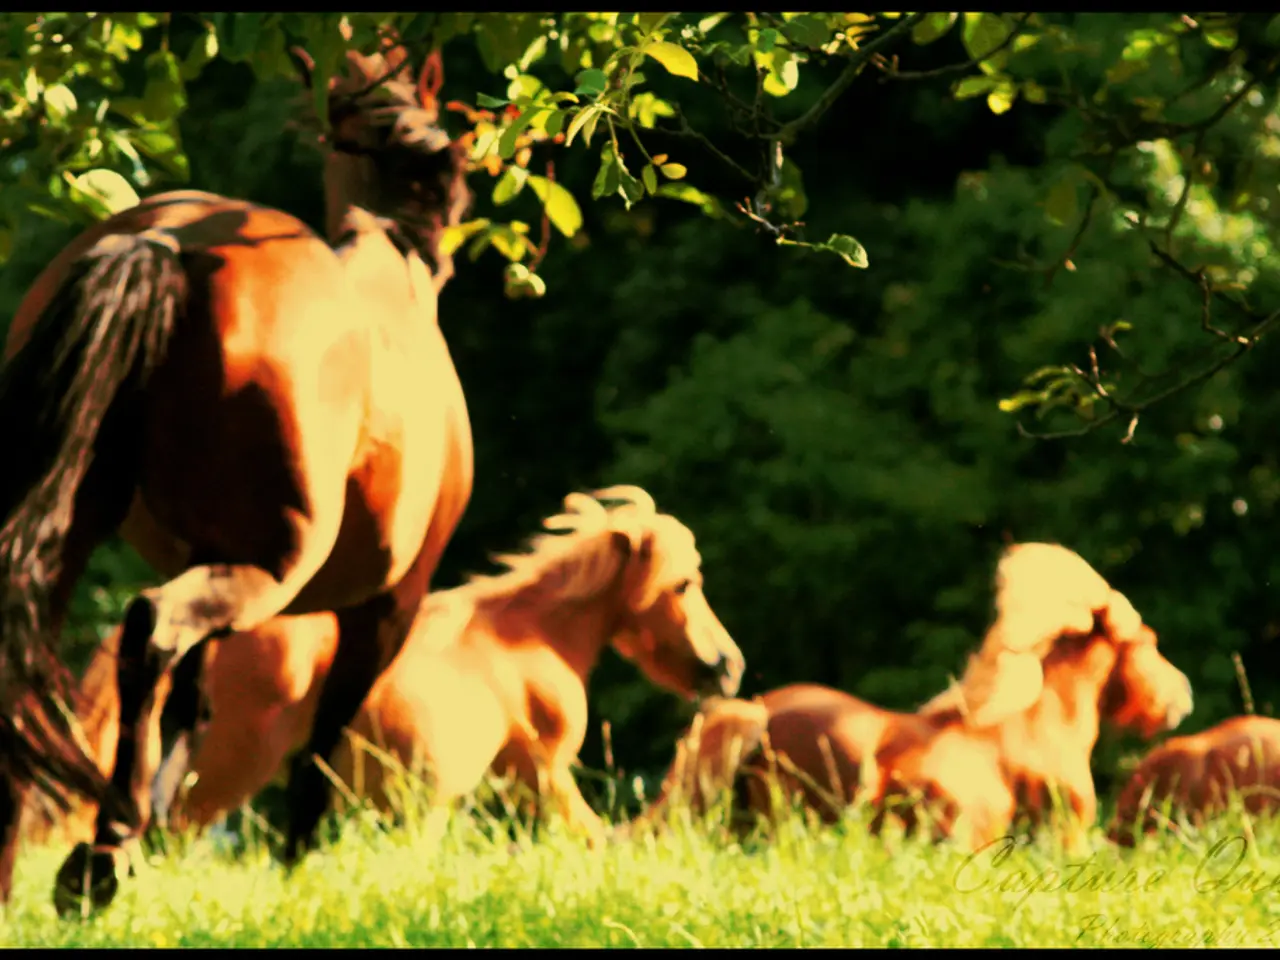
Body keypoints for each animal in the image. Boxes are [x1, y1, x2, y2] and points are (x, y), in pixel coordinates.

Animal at [0, 33, 474, 916]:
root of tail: (165, 242)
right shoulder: (387, 606)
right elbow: (321, 745)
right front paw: (293, 861)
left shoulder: (207, 557)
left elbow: (195, 703)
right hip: (272, 569)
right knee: (150, 630)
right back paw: (106, 850)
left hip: (77, 533)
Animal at [26, 487, 744, 852]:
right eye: (685, 583)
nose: (727, 666)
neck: (524, 638)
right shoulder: (541, 771)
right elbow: (594, 836)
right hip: (225, 773)